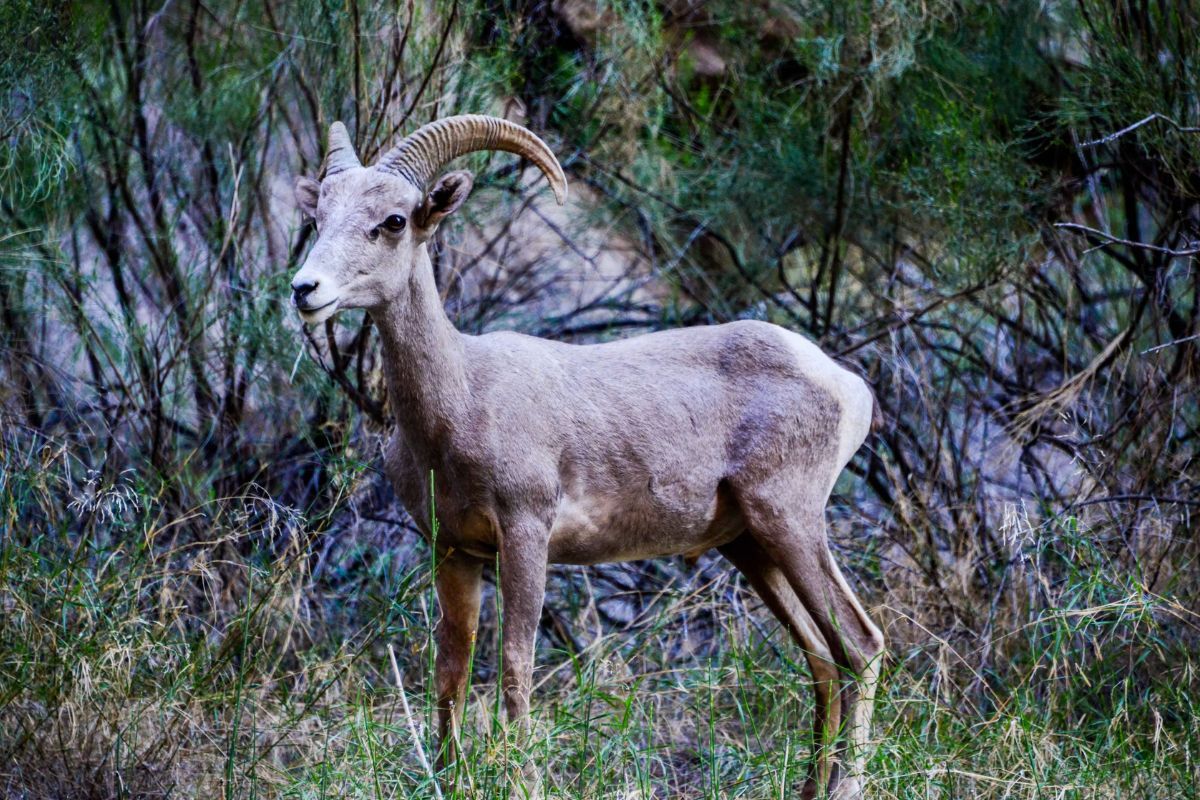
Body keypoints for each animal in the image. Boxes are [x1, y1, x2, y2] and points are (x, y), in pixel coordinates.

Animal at [289, 115, 884, 800]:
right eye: (319, 215)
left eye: (392, 221)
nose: (305, 290)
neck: (459, 402)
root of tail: (845, 385)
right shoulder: (453, 550)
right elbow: (452, 667)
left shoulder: (526, 535)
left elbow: (515, 665)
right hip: (752, 547)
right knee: (822, 658)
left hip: (790, 523)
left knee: (860, 646)